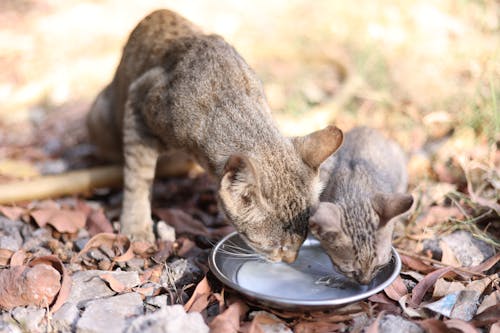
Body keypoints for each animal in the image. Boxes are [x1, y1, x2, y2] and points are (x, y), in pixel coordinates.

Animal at [87, 9, 344, 262]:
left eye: (303, 239)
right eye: (277, 246)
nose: (291, 260)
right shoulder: (139, 102)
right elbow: (138, 177)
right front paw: (136, 225)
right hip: (101, 117)